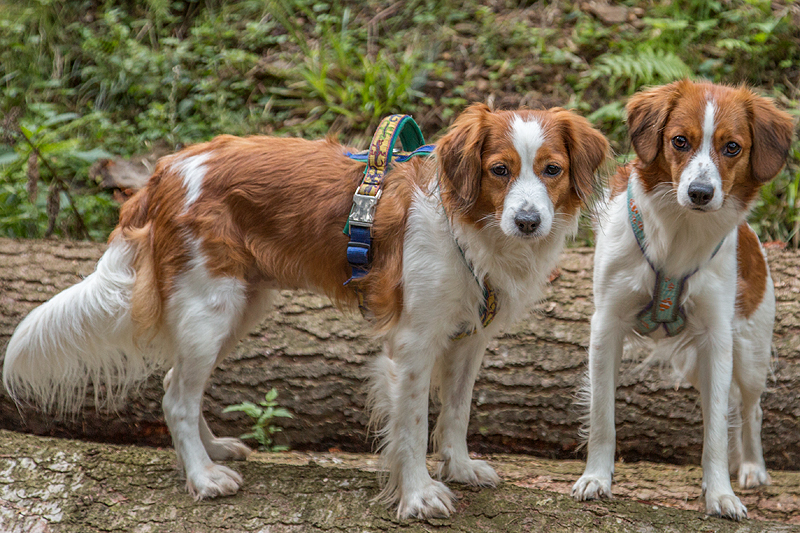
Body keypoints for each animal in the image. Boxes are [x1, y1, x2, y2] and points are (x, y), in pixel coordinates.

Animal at [4, 102, 608, 516]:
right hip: (211, 307)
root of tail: (165, 170)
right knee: (175, 396)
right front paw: (417, 495)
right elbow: (413, 425)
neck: (472, 232)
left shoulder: (468, 339)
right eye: (499, 171)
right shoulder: (413, 345)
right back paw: (203, 477)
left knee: (178, 382)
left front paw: (457, 467)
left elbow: (455, 413)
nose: (528, 221)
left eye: (551, 170)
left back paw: (213, 451)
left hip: (239, 307)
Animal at [576, 80, 792, 520]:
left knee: (750, 408)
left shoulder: (716, 339)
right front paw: (596, 478)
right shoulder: (606, 326)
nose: (700, 193)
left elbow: (715, 430)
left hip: (749, 354)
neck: (681, 230)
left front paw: (721, 494)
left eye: (732, 147)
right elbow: (603, 414)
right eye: (680, 141)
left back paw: (752, 466)